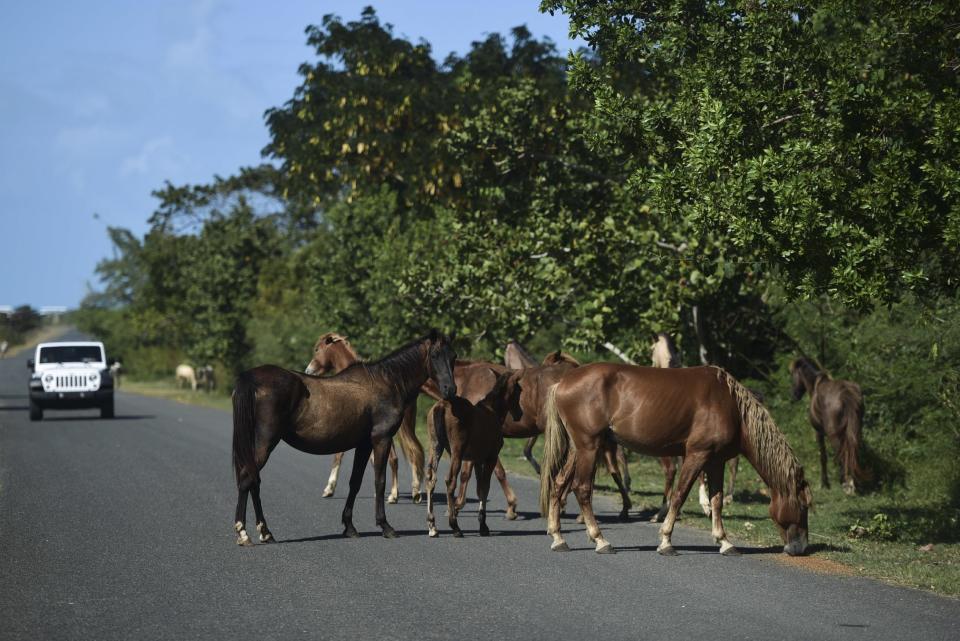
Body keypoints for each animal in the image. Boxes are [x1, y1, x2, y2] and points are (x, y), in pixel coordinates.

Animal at [304, 332, 424, 502]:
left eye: (317, 349)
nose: (309, 370)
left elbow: (339, 455)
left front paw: (329, 488)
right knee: (414, 451)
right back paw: (415, 492)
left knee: (395, 458)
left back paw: (394, 494)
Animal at [424, 368, 520, 536]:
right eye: (519, 391)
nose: (520, 413)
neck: (493, 411)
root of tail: (442, 406)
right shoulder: (490, 458)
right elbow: (485, 488)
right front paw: (483, 526)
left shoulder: (477, 459)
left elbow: (479, 488)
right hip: (457, 451)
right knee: (450, 480)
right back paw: (455, 526)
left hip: (435, 446)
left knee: (430, 478)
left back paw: (432, 525)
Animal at [540, 364, 808, 556]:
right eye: (804, 506)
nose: (801, 548)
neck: (730, 406)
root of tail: (561, 383)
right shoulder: (697, 455)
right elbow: (679, 495)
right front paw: (666, 541)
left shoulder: (716, 461)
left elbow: (717, 500)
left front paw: (724, 542)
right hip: (589, 447)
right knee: (582, 489)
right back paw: (600, 541)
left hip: (578, 449)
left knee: (560, 483)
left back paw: (558, 538)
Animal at [792, 356, 868, 496]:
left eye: (793, 375)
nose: (794, 395)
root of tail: (845, 394)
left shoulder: (819, 432)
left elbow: (823, 456)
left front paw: (825, 483)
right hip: (855, 430)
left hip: (834, 435)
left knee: (843, 454)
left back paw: (847, 484)